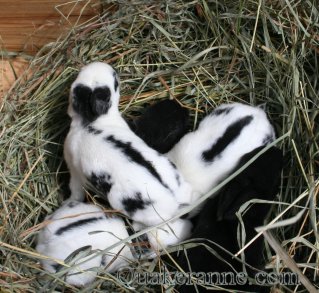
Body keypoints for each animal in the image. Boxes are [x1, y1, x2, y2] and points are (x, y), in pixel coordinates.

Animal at [63, 62, 192, 226]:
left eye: (114, 82)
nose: (113, 69)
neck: (89, 123)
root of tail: (175, 199)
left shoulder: (75, 172)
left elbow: (75, 191)